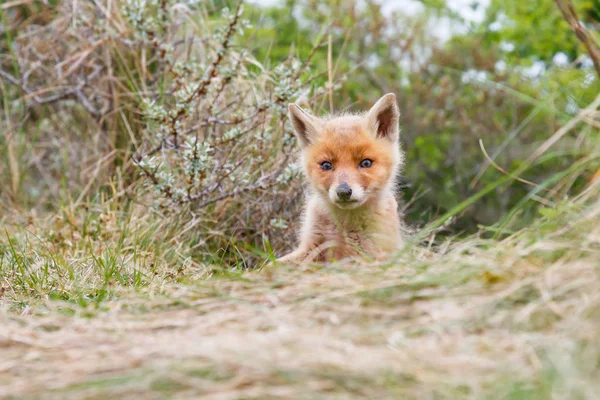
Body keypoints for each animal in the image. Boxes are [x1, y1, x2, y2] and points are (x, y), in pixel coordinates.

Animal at [278, 92, 406, 264]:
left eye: (366, 163)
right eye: (326, 165)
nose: (343, 192)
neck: (343, 227)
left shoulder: (362, 256)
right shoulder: (311, 247)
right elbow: (269, 265)